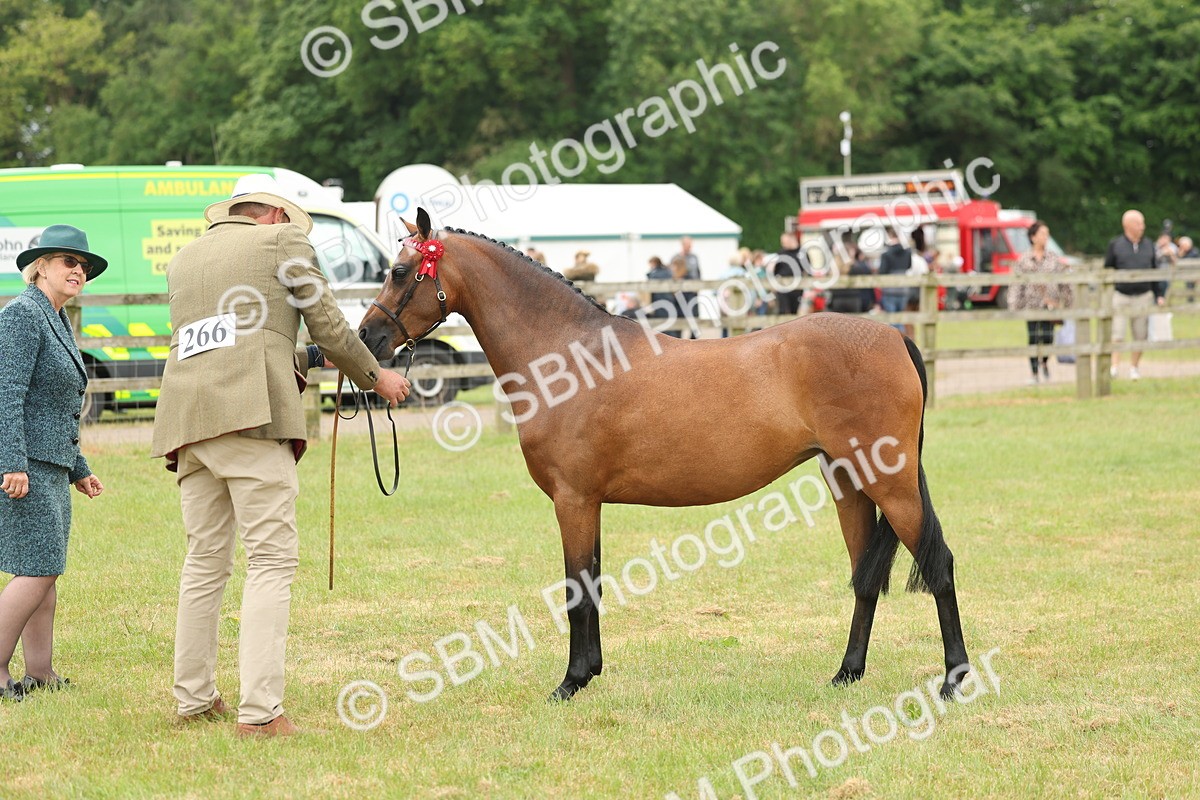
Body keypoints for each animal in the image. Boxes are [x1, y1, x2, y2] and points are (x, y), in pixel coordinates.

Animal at [357, 208, 970, 702]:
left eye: (400, 272)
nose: (367, 338)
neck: (567, 357)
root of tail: (893, 336)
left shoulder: (573, 500)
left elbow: (576, 587)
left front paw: (570, 682)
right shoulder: (590, 503)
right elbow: (592, 583)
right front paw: (590, 672)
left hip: (892, 483)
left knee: (939, 564)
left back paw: (953, 680)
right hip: (848, 483)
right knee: (865, 577)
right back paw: (847, 673)